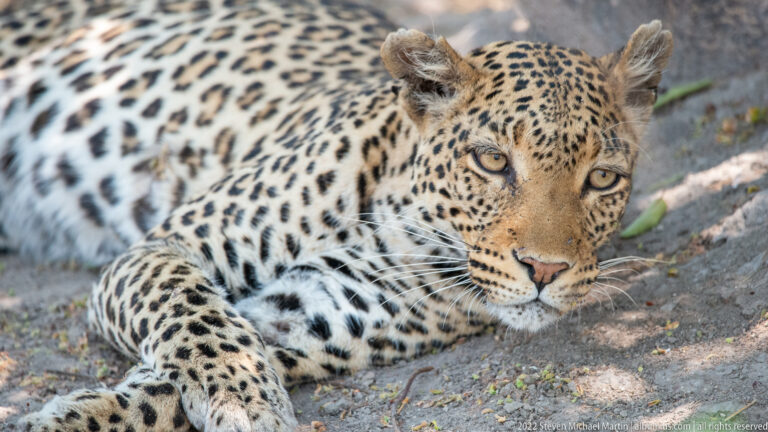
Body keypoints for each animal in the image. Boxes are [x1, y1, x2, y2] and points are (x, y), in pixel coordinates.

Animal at [0, 0, 673, 430]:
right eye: (492, 160)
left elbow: (167, 383)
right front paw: (243, 399)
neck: (400, 227)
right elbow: (199, 319)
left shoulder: (298, 321)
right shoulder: (159, 250)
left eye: (602, 178)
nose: (545, 270)